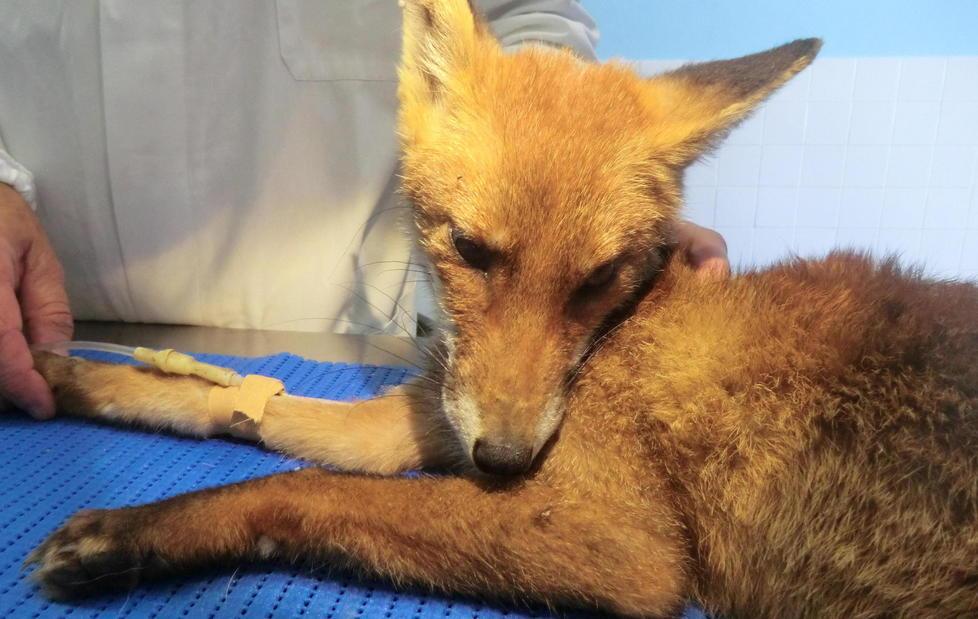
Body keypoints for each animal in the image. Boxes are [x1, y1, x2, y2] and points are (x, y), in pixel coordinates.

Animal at [20, 0, 978, 617]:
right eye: (471, 250)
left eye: (598, 278)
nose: (507, 461)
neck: (625, 334)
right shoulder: (440, 417)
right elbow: (236, 406)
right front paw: (67, 376)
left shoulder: (621, 541)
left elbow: (301, 486)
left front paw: (130, 533)